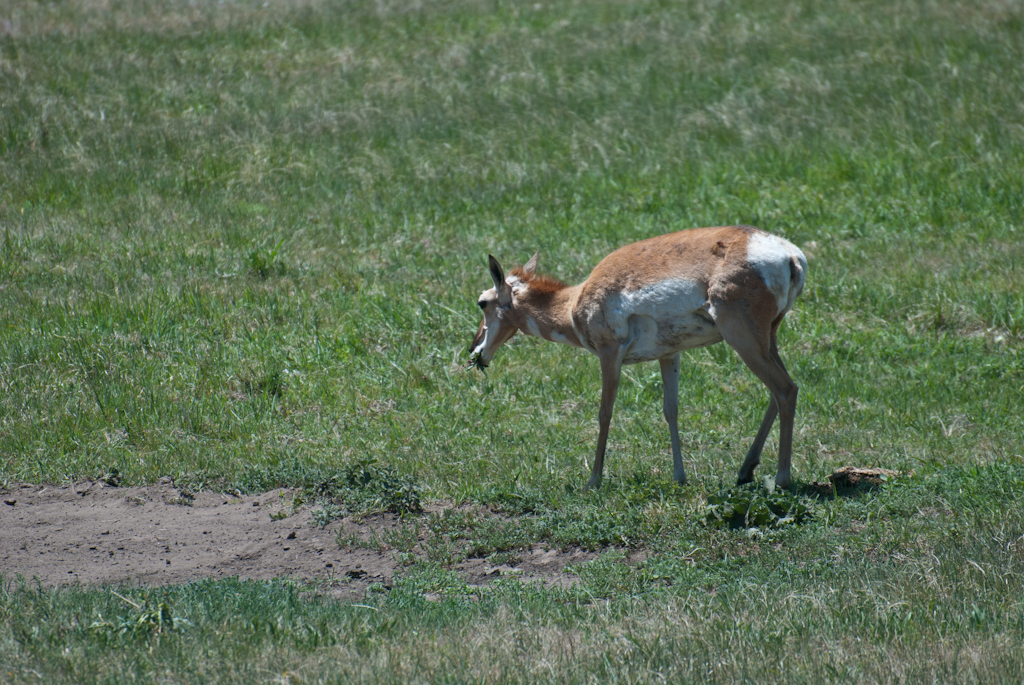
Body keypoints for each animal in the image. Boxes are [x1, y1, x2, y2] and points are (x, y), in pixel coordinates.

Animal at [468, 227, 806, 489]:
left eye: (482, 302)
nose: (473, 352)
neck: (574, 302)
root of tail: (790, 255)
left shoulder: (610, 353)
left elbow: (605, 412)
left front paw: (593, 480)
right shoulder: (670, 354)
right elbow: (671, 410)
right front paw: (679, 477)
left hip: (743, 338)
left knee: (785, 389)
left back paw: (781, 478)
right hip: (768, 338)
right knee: (779, 391)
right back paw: (745, 471)